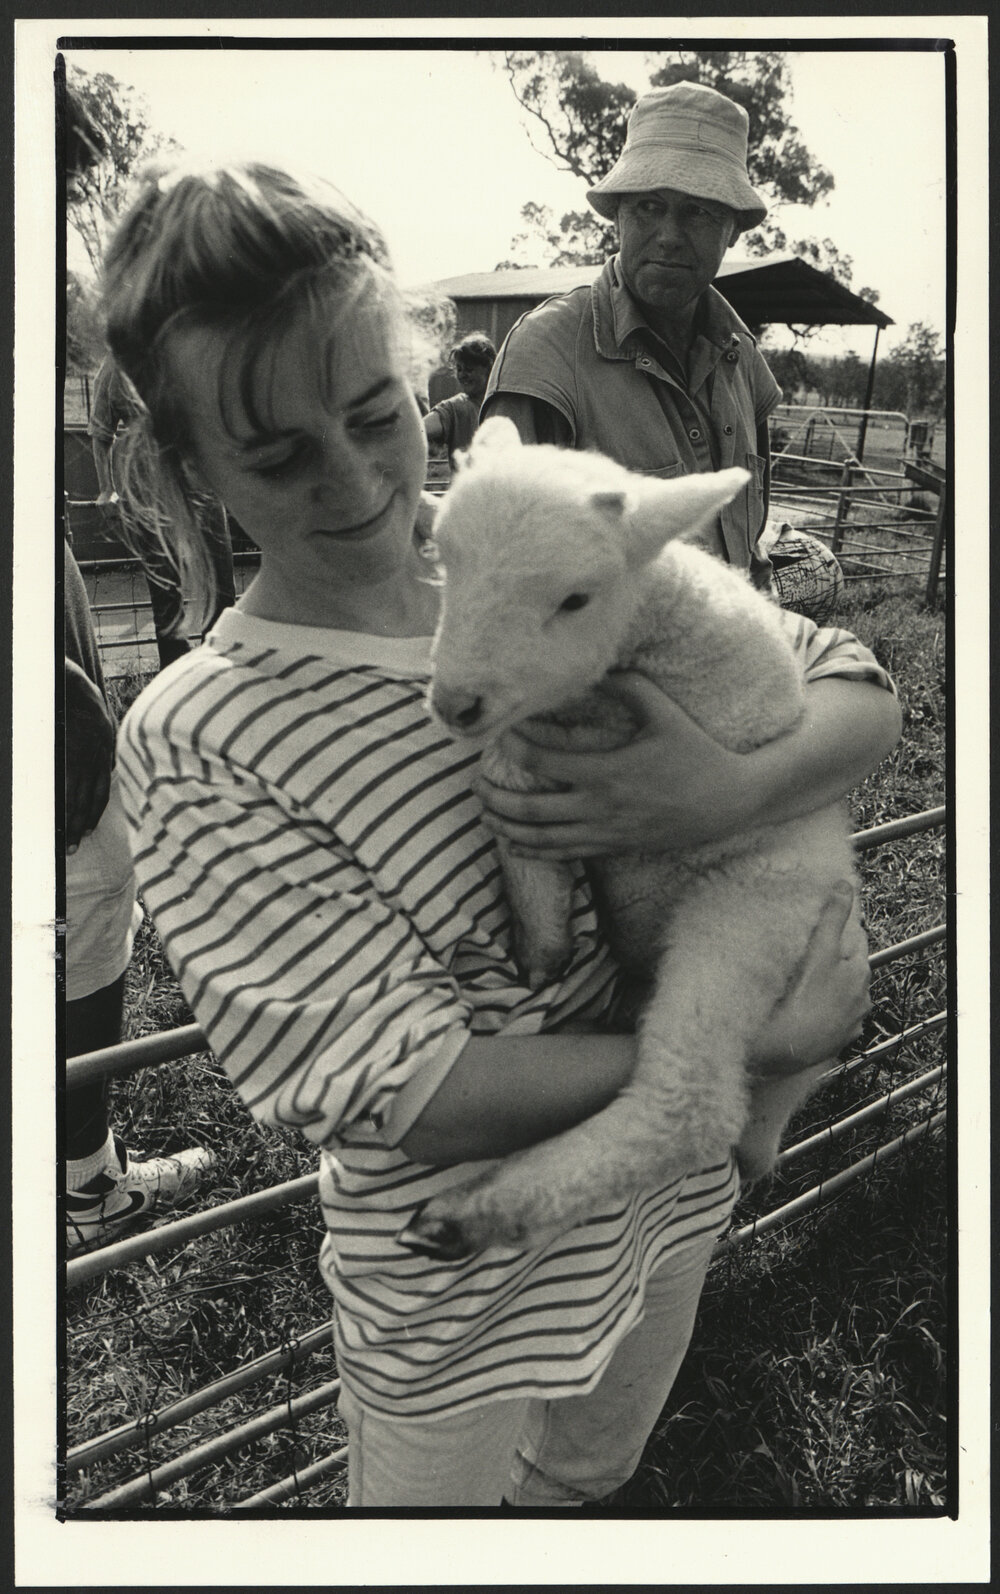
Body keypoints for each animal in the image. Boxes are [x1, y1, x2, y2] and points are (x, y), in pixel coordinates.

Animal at [398, 417, 863, 1261]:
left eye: (575, 598)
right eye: (444, 562)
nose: (454, 704)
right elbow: (510, 792)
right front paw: (542, 940)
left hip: (747, 911)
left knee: (691, 1105)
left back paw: (476, 1212)